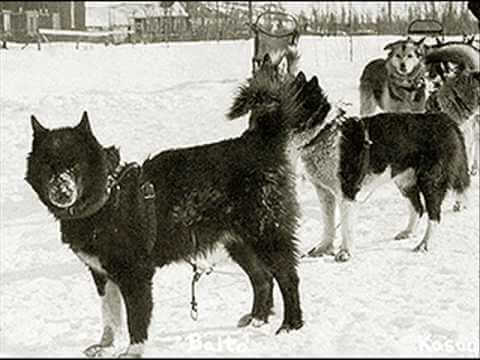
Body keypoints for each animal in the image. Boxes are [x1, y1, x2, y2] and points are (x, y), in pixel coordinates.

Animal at [25, 59, 330, 358]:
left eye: (75, 165)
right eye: (48, 166)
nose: (62, 191)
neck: (109, 198)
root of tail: (258, 142)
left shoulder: (135, 274)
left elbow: (136, 317)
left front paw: (134, 350)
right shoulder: (102, 274)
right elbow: (110, 315)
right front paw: (104, 345)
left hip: (267, 234)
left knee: (288, 278)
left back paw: (291, 324)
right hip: (238, 241)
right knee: (262, 278)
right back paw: (257, 318)